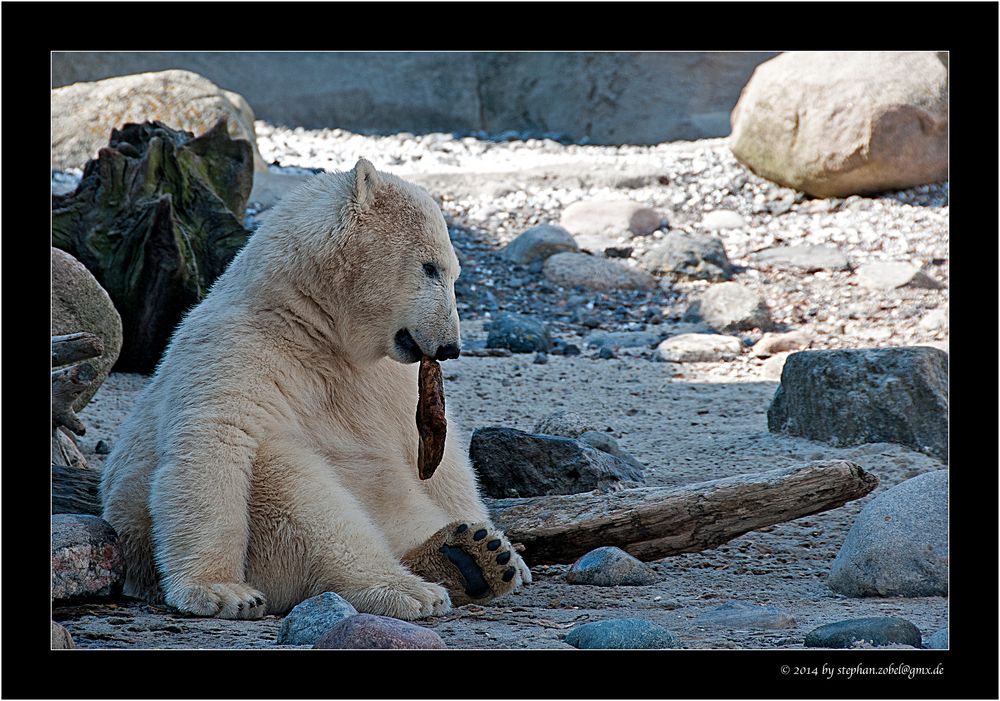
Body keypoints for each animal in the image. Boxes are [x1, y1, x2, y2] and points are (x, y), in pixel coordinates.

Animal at [100, 159, 532, 616]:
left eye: (454, 274)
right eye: (430, 267)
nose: (450, 347)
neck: (313, 326)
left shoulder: (387, 376)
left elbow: (440, 458)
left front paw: (510, 555)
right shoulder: (236, 347)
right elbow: (216, 440)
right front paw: (220, 590)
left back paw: (478, 554)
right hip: (266, 550)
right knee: (290, 478)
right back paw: (423, 582)